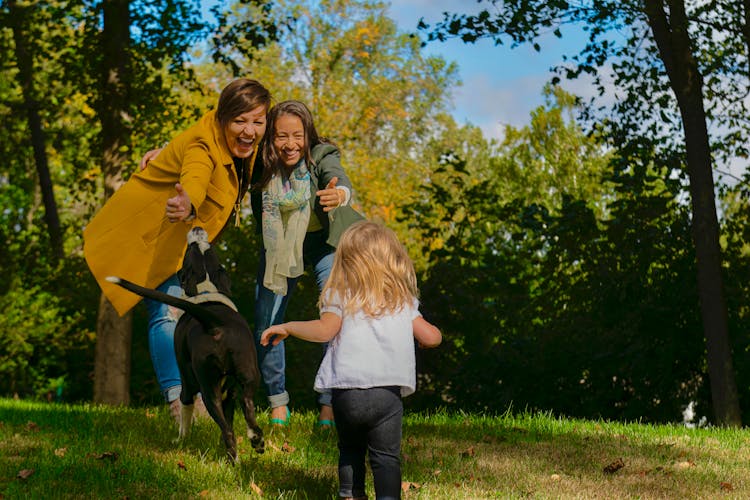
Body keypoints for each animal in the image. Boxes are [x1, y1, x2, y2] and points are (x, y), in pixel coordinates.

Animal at [107, 227, 266, 460]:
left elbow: (186, 411)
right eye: (208, 249)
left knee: (225, 428)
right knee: (247, 407)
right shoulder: (230, 393)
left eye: (188, 251)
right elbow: (230, 417)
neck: (205, 289)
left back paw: (233, 460)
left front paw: (180, 440)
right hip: (249, 374)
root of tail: (215, 324)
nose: (197, 229)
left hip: (207, 387)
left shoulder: (187, 382)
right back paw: (255, 441)